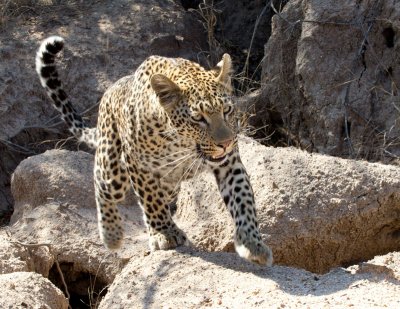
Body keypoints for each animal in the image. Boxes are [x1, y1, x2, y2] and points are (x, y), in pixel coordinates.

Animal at [36, 34, 274, 264]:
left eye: (227, 110)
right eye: (198, 118)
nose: (225, 143)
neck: (181, 143)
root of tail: (111, 90)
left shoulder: (229, 163)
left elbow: (242, 198)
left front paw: (252, 243)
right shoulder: (138, 164)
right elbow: (151, 200)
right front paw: (164, 234)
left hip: (170, 184)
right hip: (113, 169)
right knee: (100, 183)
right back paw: (111, 234)